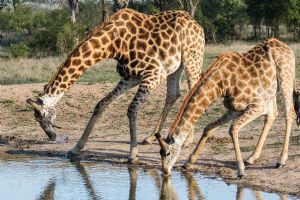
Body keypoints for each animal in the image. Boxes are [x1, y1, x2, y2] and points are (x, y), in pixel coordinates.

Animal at [26, 8, 204, 163]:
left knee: (194, 90)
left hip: (192, 57)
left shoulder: (154, 73)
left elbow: (131, 109)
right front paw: (76, 148)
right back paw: (151, 136)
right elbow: (101, 104)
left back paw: (187, 140)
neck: (113, 44)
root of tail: (197, 24)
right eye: (36, 118)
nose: (52, 137)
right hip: (175, 65)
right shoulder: (129, 77)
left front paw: (133, 155)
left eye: (41, 115)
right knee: (174, 94)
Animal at [156, 38, 298, 177]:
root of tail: (286, 47)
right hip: (270, 92)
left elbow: (232, 128)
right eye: (160, 153)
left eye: (167, 153)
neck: (221, 84)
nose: (165, 172)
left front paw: (240, 170)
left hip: (286, 79)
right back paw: (252, 158)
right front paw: (189, 162)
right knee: (272, 115)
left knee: (289, 114)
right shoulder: (235, 109)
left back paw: (281, 161)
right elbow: (208, 127)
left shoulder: (258, 106)